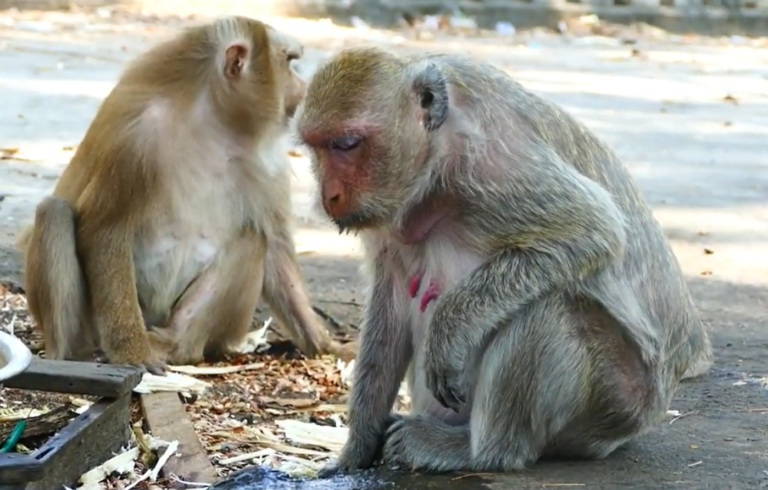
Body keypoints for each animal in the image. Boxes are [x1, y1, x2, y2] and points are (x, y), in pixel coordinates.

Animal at [15, 16, 354, 374]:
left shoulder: (268, 162)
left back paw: (177, 345)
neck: (212, 124)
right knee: (54, 214)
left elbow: (274, 245)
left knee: (252, 239)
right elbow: (105, 231)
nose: (302, 88)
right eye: (289, 62)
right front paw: (132, 352)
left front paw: (327, 345)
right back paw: (75, 353)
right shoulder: (135, 142)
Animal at [292, 46, 714, 475]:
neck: (436, 162)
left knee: (547, 306)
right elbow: (390, 301)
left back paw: (479, 451)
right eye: (315, 148)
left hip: (616, 401)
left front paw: (448, 330)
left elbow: (593, 229)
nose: (328, 196)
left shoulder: (493, 162)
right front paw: (356, 449)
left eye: (347, 144)